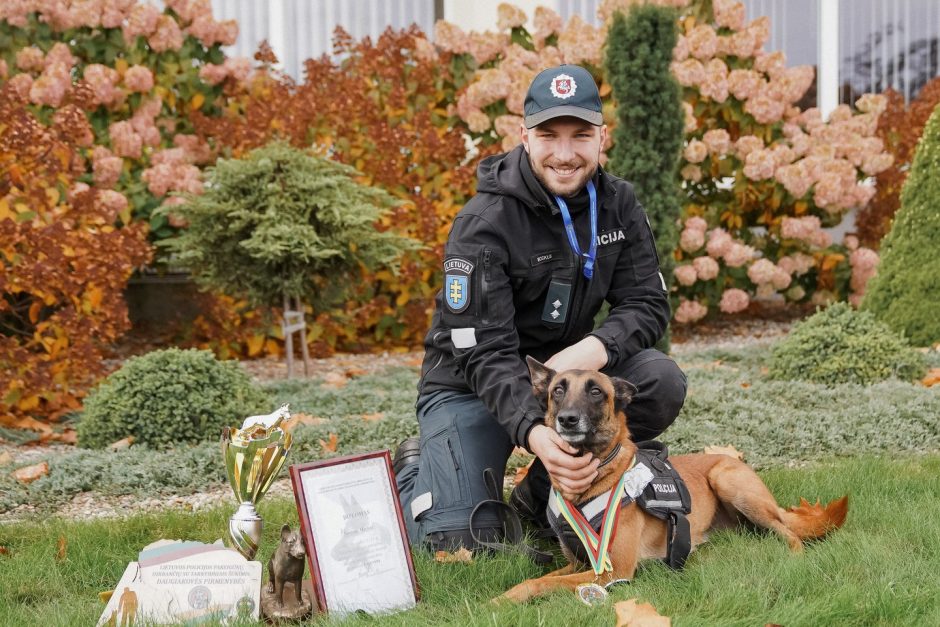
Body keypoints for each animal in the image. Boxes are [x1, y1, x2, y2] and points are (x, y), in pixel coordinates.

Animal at [500, 358, 852, 604]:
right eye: (558, 390)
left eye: (596, 391)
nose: (568, 419)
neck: (592, 480)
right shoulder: (577, 565)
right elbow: (539, 578)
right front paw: (505, 596)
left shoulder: (613, 569)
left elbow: (543, 582)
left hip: (729, 482)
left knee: (791, 534)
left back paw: (793, 560)